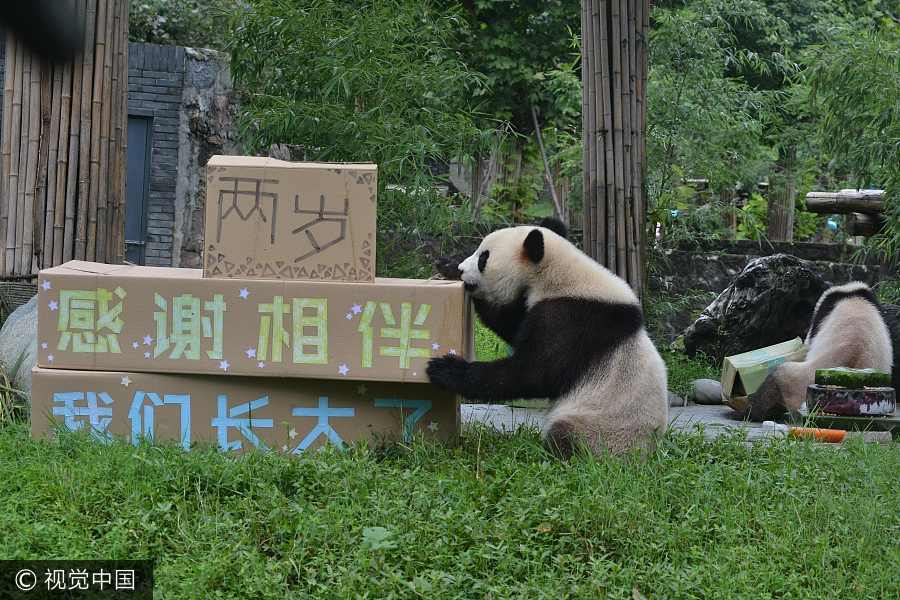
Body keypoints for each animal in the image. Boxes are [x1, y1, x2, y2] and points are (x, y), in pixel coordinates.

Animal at [426, 217, 669, 458]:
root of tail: (647, 453)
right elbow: (510, 324)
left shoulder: (572, 320)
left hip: (601, 428)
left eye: (483, 258)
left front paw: (445, 369)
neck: (557, 271)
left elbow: (534, 372)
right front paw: (447, 268)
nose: (462, 270)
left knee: (568, 436)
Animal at [733, 281, 893, 422]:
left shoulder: (821, 314)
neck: (853, 300)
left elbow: (810, 338)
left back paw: (747, 413)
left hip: (799, 381)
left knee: (775, 381)